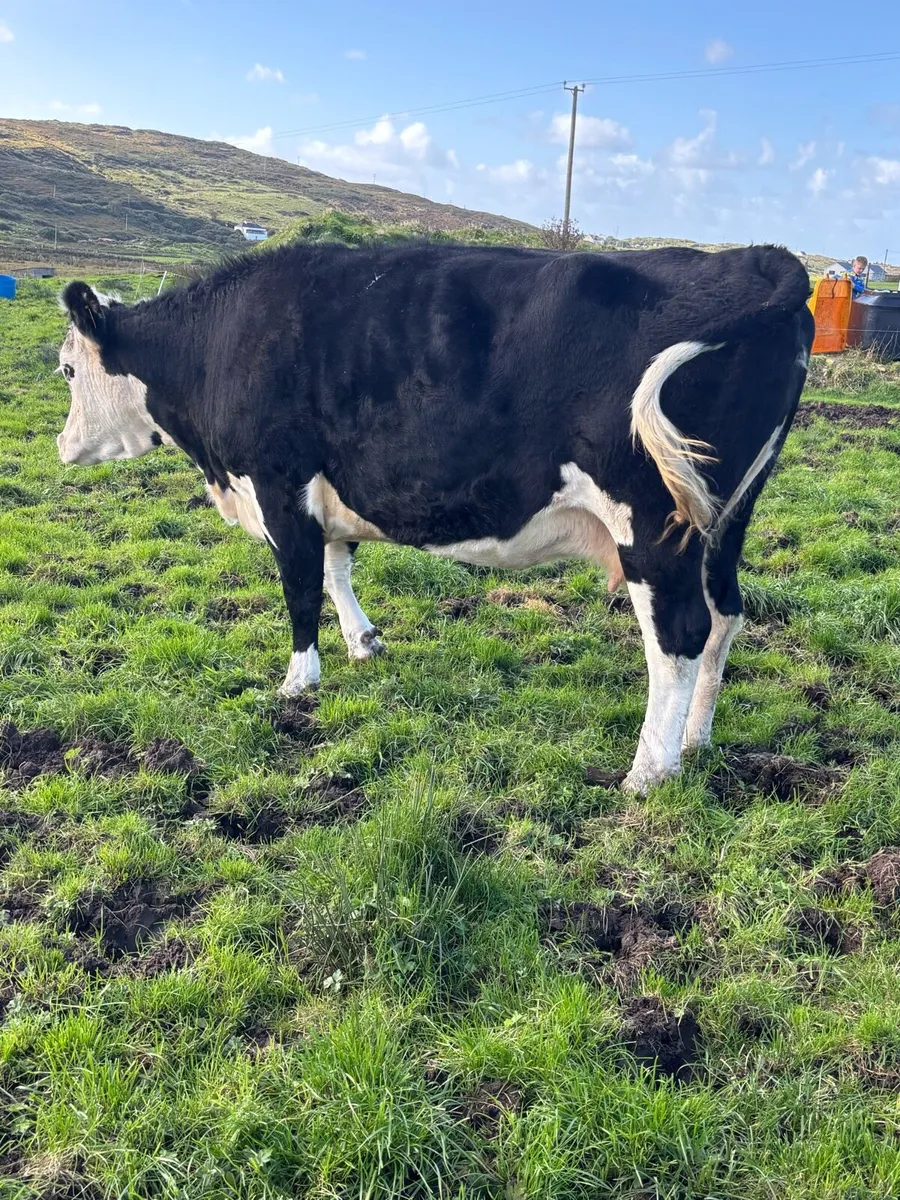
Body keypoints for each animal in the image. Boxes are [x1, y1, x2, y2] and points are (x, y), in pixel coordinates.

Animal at [56, 241, 813, 793]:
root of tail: (761, 257)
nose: (60, 447)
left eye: (65, 370)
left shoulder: (277, 483)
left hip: (654, 526)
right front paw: (364, 643)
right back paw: (695, 740)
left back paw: (650, 771)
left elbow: (300, 585)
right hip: (723, 522)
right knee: (724, 617)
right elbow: (335, 569)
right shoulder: (328, 491)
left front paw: (298, 684)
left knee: (679, 635)